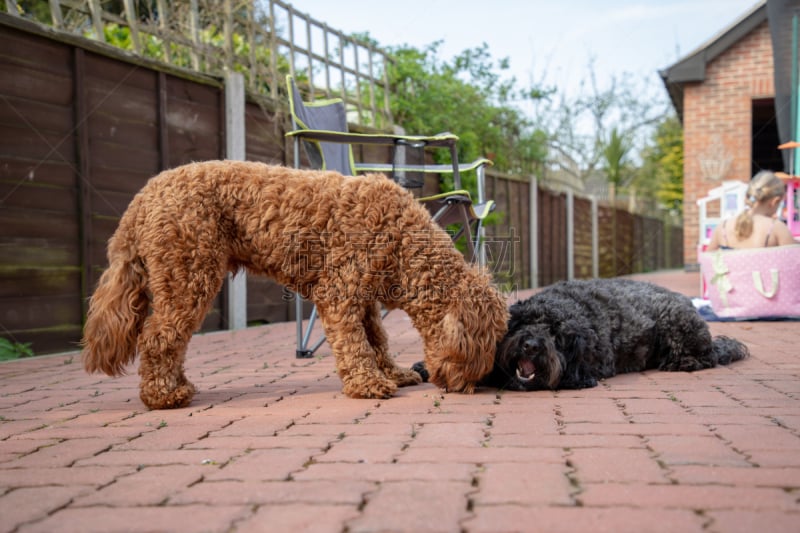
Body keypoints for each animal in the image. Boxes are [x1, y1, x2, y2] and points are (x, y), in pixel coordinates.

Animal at [81, 160, 506, 410]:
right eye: (479, 347)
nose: (468, 387)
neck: (401, 237)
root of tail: (144, 195)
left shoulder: (364, 299)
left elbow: (376, 339)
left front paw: (393, 372)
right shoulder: (339, 293)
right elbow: (356, 345)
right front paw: (368, 383)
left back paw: (177, 384)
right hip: (189, 275)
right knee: (158, 337)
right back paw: (163, 395)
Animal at [412, 278, 752, 390]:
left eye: (556, 335)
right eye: (524, 324)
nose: (531, 345)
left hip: (675, 321)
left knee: (706, 357)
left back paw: (683, 362)